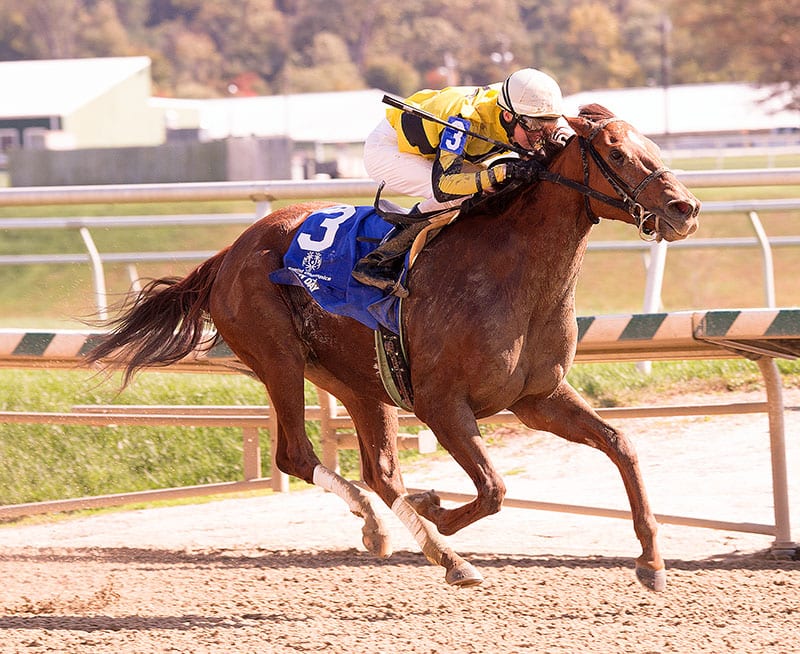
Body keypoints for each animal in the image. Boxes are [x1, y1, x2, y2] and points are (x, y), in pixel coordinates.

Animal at [86, 105, 700, 592]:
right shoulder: (442, 405)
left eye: (651, 144)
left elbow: (621, 445)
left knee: (379, 472)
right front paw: (438, 514)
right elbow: (495, 489)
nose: (685, 208)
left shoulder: (537, 398)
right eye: (616, 152)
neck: (512, 274)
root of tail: (228, 253)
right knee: (298, 455)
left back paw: (406, 537)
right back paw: (422, 542)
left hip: (358, 380)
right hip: (279, 358)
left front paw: (651, 561)